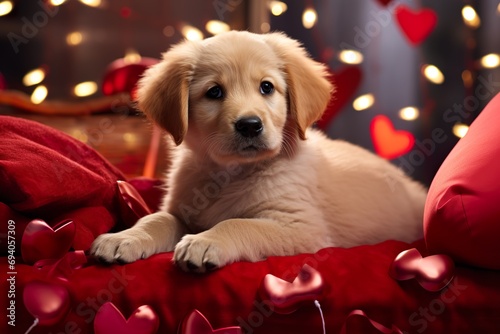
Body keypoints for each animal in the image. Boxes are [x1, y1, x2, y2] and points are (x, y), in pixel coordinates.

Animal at [91, 30, 426, 272]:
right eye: (214, 92)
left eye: (267, 87)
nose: (250, 125)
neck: (229, 174)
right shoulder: (181, 209)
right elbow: (157, 219)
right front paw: (124, 238)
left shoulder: (302, 227)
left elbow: (240, 223)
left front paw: (206, 241)